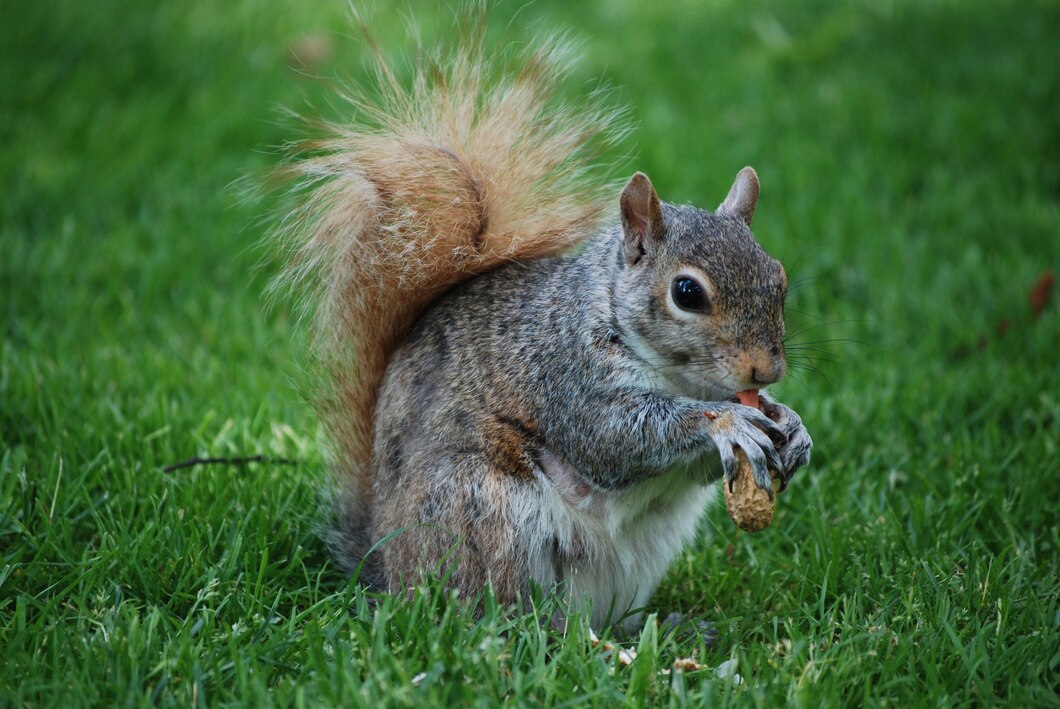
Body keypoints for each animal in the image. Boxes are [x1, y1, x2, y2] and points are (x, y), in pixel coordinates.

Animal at [275, 12, 809, 631]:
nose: (765, 370)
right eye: (686, 293)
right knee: (504, 619)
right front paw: (728, 420)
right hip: (485, 511)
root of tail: (387, 573)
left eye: (779, 278)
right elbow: (616, 437)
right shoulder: (564, 371)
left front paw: (790, 423)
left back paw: (658, 627)